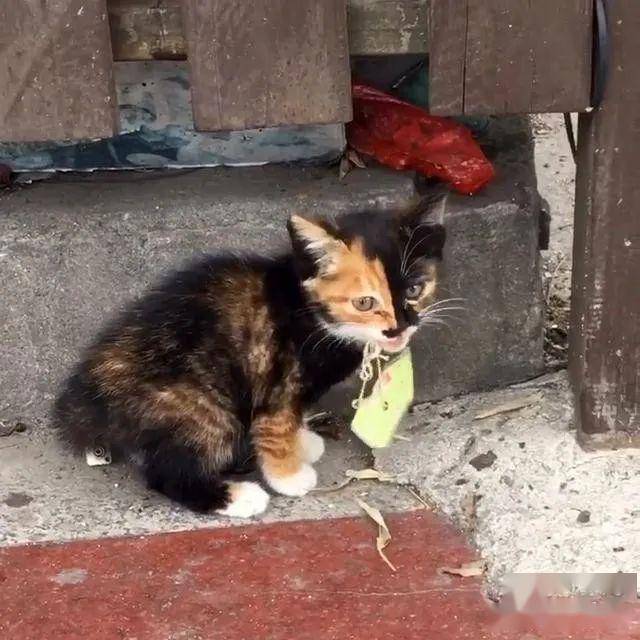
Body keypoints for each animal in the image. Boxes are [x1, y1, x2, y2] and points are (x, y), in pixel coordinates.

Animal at [53, 198, 444, 516]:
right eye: (364, 303)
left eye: (414, 289)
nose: (398, 329)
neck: (309, 310)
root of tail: (95, 403)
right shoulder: (276, 377)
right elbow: (276, 424)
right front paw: (289, 476)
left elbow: (292, 419)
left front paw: (302, 442)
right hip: (202, 405)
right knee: (168, 474)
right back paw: (238, 497)